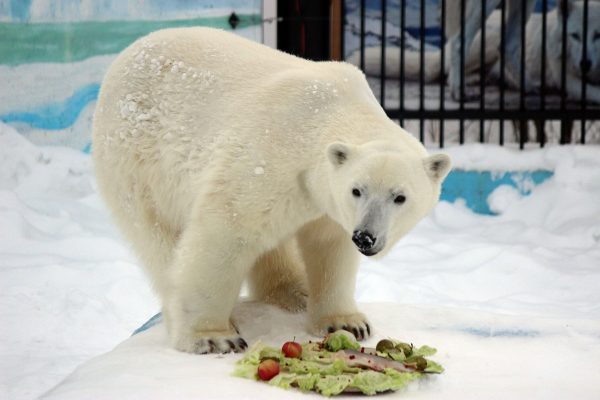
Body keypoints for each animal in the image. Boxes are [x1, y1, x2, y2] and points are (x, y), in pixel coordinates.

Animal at [94, 27, 450, 354]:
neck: (326, 113)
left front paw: (346, 322)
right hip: (137, 159)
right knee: (158, 236)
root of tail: (125, 56)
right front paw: (212, 336)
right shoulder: (267, 158)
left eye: (400, 197)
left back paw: (296, 291)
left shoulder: (325, 202)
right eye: (357, 190)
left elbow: (329, 247)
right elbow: (225, 232)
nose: (365, 237)